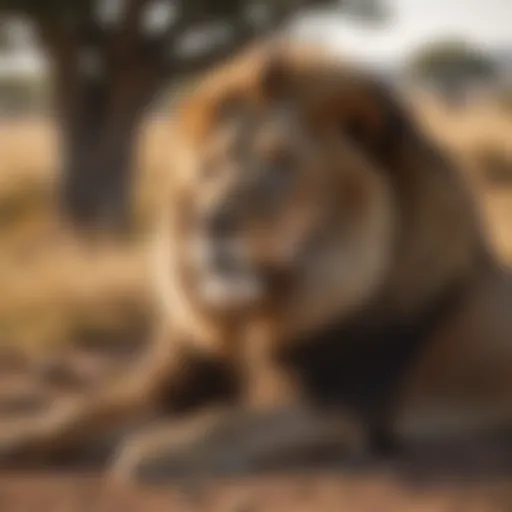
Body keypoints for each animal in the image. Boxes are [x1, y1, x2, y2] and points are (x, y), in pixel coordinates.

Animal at [1, 41, 512, 484]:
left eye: (282, 164)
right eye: (212, 165)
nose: (210, 220)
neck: (253, 316)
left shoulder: (337, 407)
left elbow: (224, 421)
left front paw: (159, 448)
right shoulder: (175, 381)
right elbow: (86, 406)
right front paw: (19, 435)